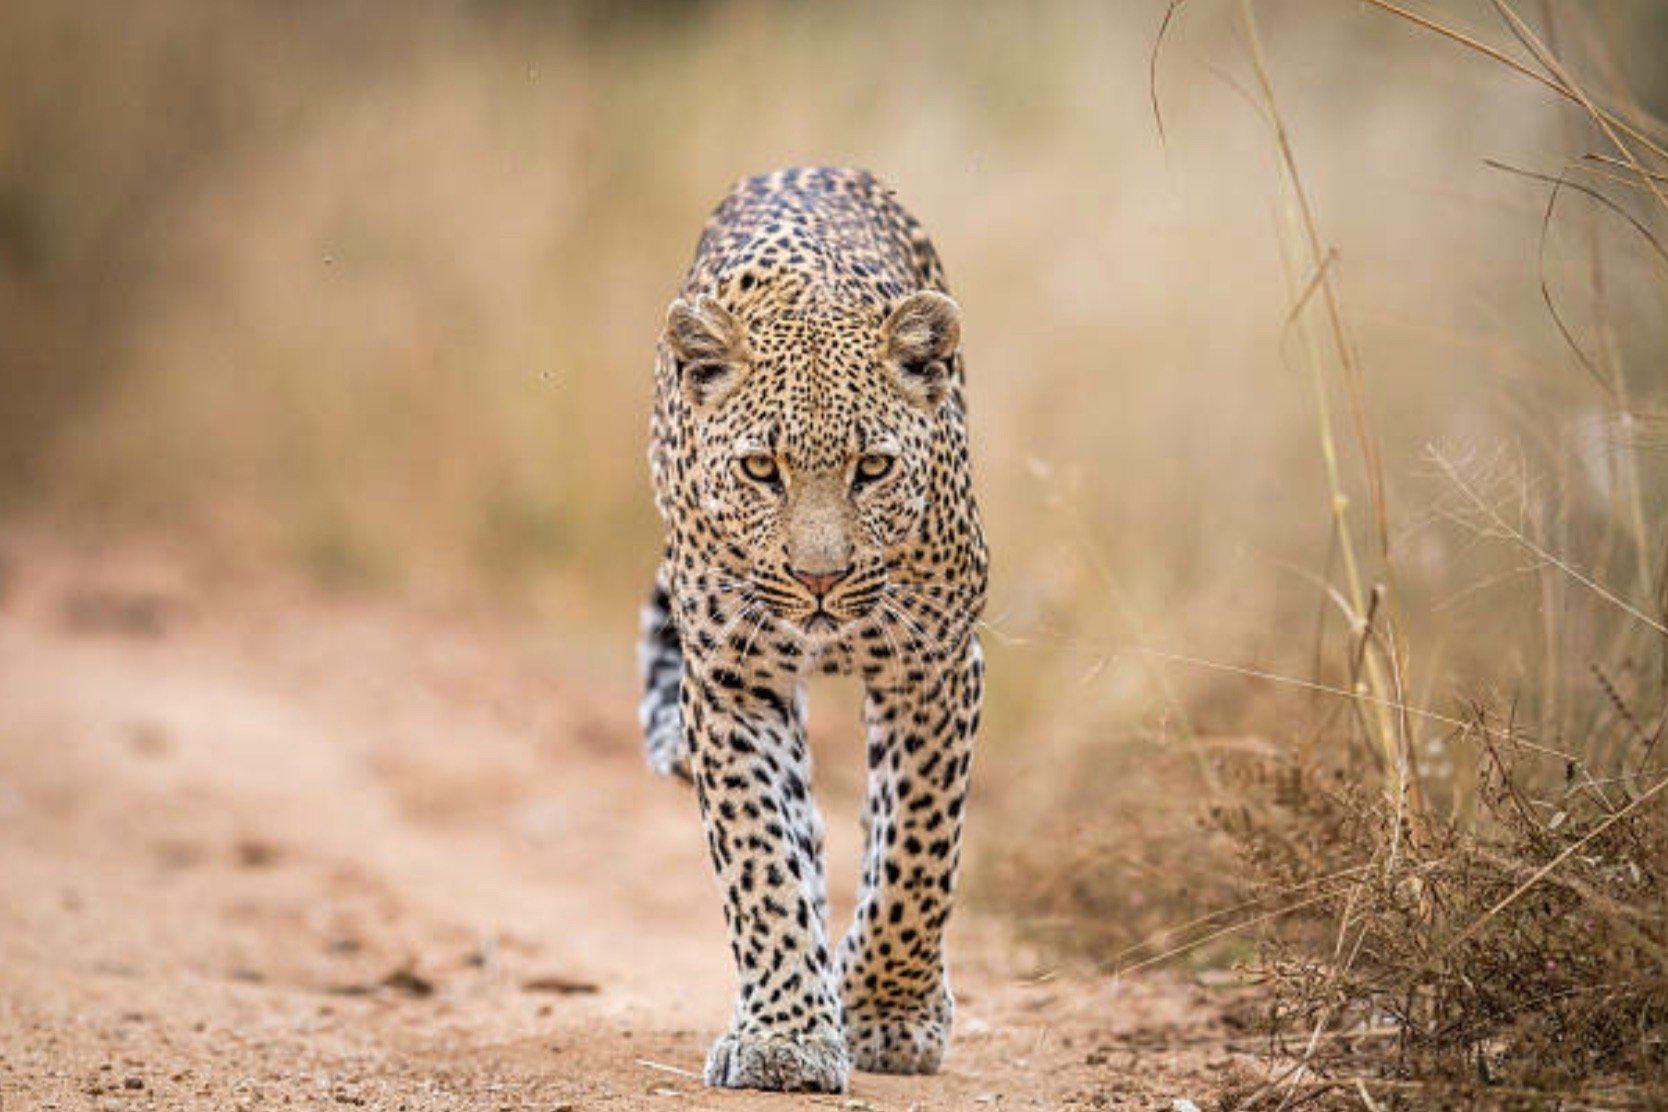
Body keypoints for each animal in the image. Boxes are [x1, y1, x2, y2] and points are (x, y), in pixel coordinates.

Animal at [638, 166, 987, 1093]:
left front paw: (890, 1013)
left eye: (874, 468)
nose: (819, 579)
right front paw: (785, 1037)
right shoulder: (731, 680)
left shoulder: (935, 665)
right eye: (763, 469)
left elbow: (917, 850)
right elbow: (761, 857)